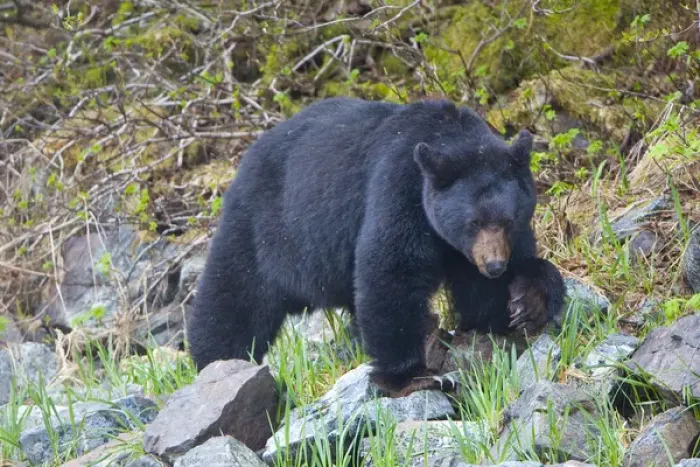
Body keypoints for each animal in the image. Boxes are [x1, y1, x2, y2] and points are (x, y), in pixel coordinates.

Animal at [186, 96, 566, 397]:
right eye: (472, 222)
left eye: (508, 220)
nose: (494, 266)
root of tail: (247, 156)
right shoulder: (399, 189)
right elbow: (391, 272)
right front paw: (411, 376)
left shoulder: (471, 248)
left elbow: (485, 300)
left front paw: (527, 300)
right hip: (263, 227)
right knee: (234, 295)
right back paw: (217, 362)